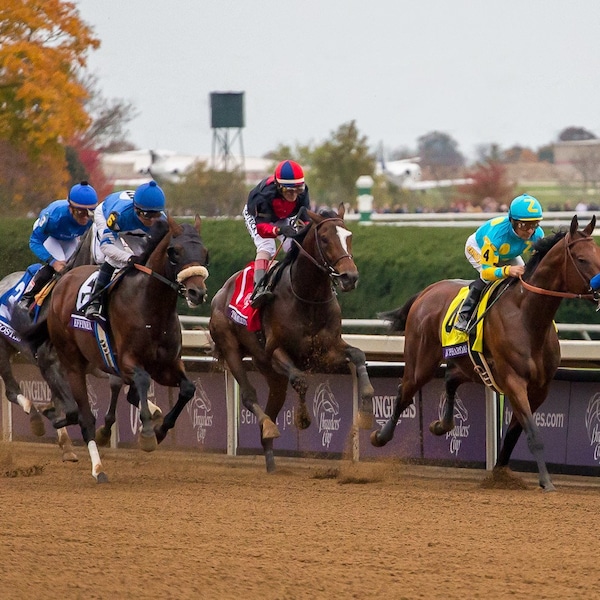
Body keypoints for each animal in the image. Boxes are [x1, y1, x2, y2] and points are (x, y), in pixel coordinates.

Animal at [23, 216, 210, 482]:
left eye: (205, 253)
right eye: (175, 252)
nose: (197, 292)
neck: (151, 307)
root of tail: (64, 281)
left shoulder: (167, 365)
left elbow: (187, 389)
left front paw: (161, 430)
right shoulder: (126, 361)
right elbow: (141, 381)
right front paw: (147, 434)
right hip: (71, 362)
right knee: (84, 417)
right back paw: (97, 467)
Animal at [209, 206, 372, 474]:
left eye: (349, 236)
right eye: (324, 238)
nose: (350, 276)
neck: (308, 298)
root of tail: (221, 291)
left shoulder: (326, 350)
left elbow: (358, 355)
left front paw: (367, 405)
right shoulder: (275, 351)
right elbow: (300, 379)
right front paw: (303, 418)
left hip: (271, 374)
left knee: (273, 403)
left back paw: (271, 460)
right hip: (231, 347)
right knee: (249, 396)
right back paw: (268, 427)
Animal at [370, 216, 600, 492]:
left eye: (599, 253)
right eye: (582, 259)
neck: (527, 318)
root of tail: (427, 291)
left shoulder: (540, 388)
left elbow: (514, 432)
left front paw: (501, 474)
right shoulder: (513, 381)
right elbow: (533, 434)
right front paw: (546, 482)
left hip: (470, 365)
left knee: (450, 379)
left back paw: (442, 425)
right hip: (421, 361)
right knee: (404, 391)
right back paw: (381, 436)